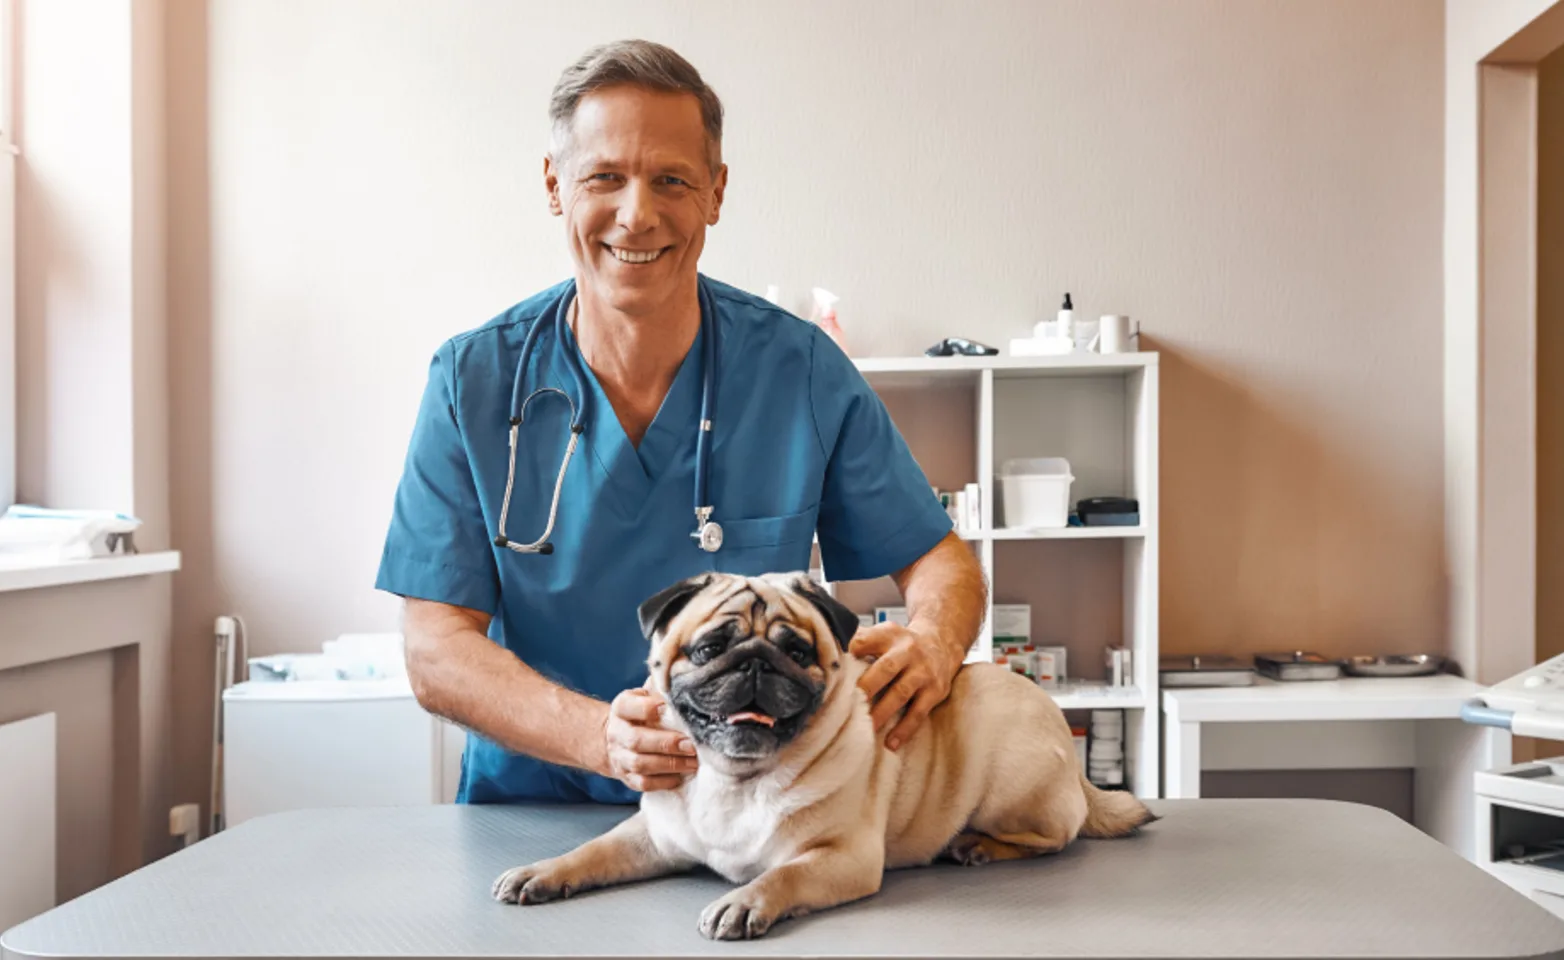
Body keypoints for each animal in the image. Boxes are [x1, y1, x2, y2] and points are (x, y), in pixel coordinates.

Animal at [494, 572, 1157, 938]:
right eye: (709, 648)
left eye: (798, 652)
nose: (756, 662)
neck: (737, 779)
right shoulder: (652, 837)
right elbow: (590, 852)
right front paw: (543, 872)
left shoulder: (842, 858)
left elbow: (783, 873)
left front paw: (743, 902)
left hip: (1012, 784)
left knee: (1054, 837)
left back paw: (978, 847)